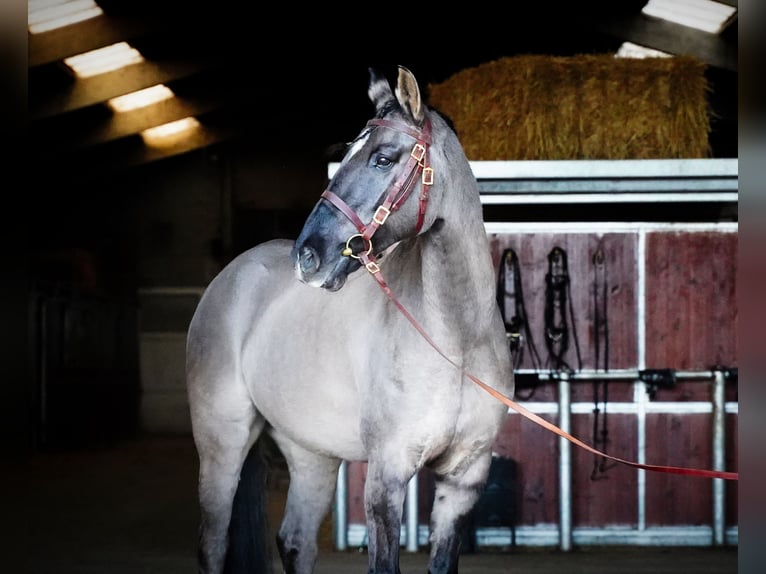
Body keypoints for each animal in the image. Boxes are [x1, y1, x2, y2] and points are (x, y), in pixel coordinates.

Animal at [188, 65, 516, 572]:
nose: (308, 255)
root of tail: (231, 274)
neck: (457, 340)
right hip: (222, 442)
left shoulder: (464, 480)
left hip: (310, 453)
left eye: (382, 158)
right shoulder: (386, 478)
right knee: (213, 545)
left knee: (296, 540)